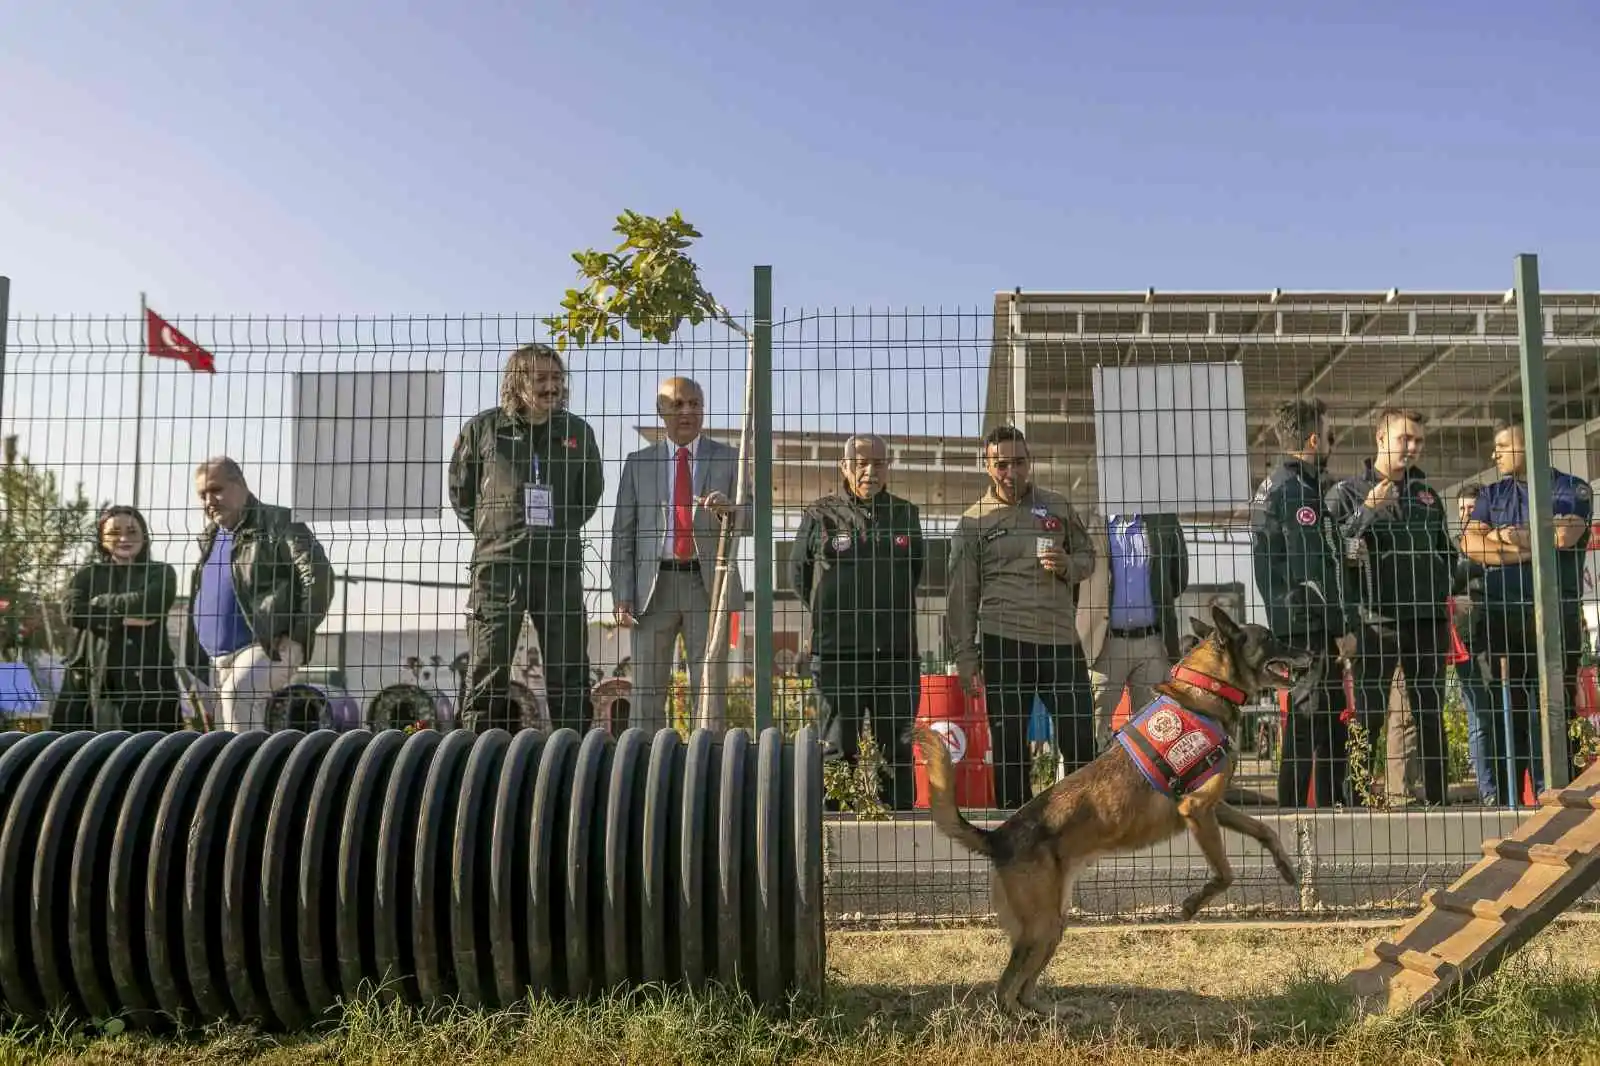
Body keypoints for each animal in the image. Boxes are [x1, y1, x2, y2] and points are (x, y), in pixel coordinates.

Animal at [915, 601, 1312, 1017]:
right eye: (1270, 638)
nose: (1313, 653)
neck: (1204, 690)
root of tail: (998, 837)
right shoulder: (1197, 809)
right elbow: (1226, 874)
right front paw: (1192, 905)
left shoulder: (1214, 808)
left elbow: (1264, 830)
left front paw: (1288, 869)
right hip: (1040, 925)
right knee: (1004, 990)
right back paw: (1024, 1020)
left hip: (1054, 925)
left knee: (1022, 988)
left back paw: (1053, 1013)